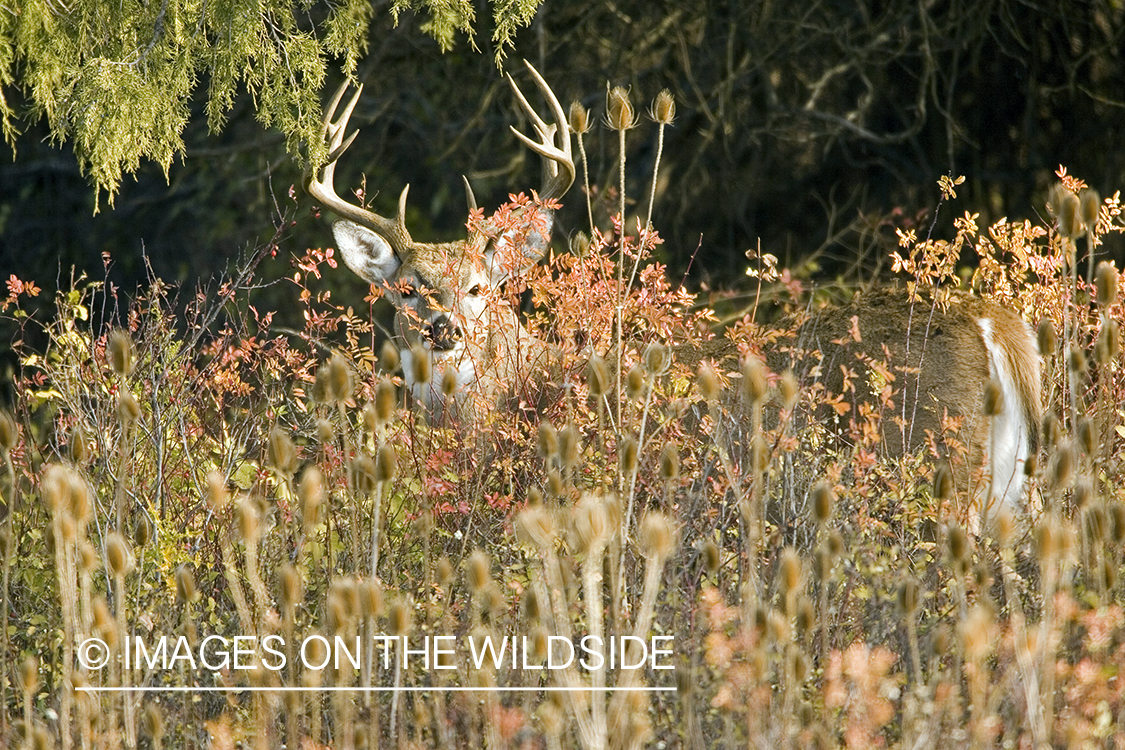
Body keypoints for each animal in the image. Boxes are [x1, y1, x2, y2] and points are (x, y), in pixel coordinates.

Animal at [308, 66, 1044, 517]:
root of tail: (998, 326)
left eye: (480, 287)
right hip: (1008, 490)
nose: (445, 331)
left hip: (940, 471)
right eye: (407, 290)